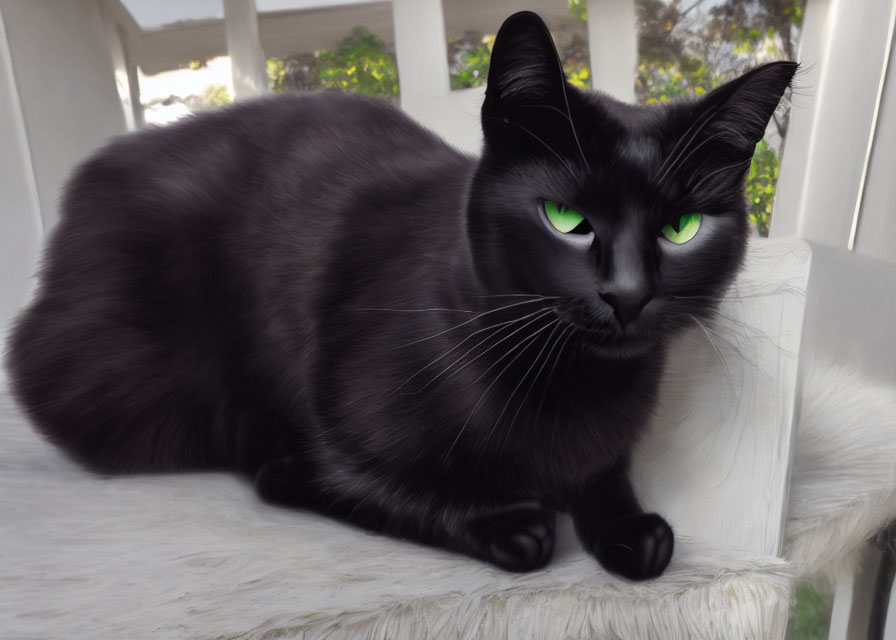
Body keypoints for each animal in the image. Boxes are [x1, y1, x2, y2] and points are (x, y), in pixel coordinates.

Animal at [3, 11, 796, 580]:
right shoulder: (339, 431)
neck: (573, 385)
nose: (627, 294)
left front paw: (629, 525)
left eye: (680, 228)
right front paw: (506, 522)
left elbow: (612, 483)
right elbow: (393, 493)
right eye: (566, 220)